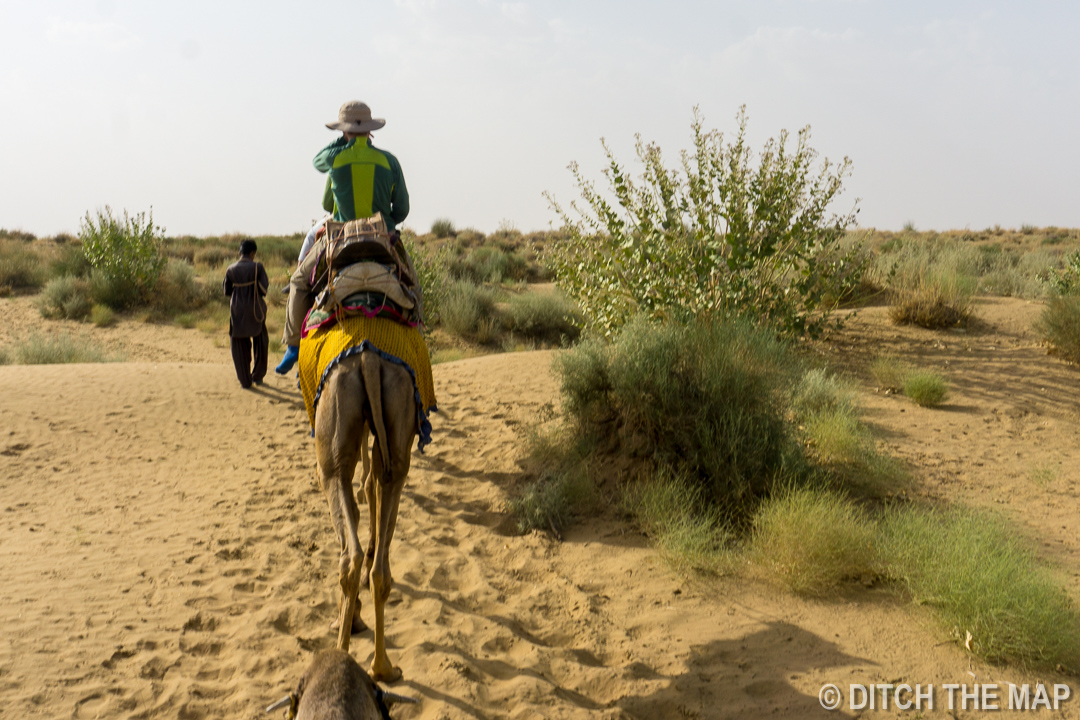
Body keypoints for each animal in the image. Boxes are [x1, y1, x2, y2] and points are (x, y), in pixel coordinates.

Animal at [315, 351, 414, 686]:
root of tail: (369, 359)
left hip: (330, 450)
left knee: (350, 555)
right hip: (397, 427)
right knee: (378, 568)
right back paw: (383, 668)